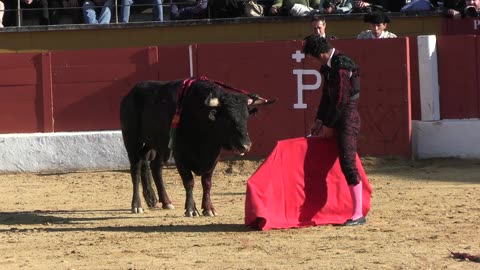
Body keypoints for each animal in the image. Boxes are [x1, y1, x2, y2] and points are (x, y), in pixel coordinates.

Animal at [121, 78, 274, 217]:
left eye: (246, 117)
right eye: (227, 118)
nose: (245, 145)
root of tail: (129, 94)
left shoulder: (214, 156)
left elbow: (207, 182)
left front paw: (208, 209)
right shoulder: (180, 155)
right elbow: (189, 182)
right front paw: (191, 209)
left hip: (157, 144)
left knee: (154, 167)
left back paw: (165, 202)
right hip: (132, 141)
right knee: (136, 169)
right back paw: (137, 205)